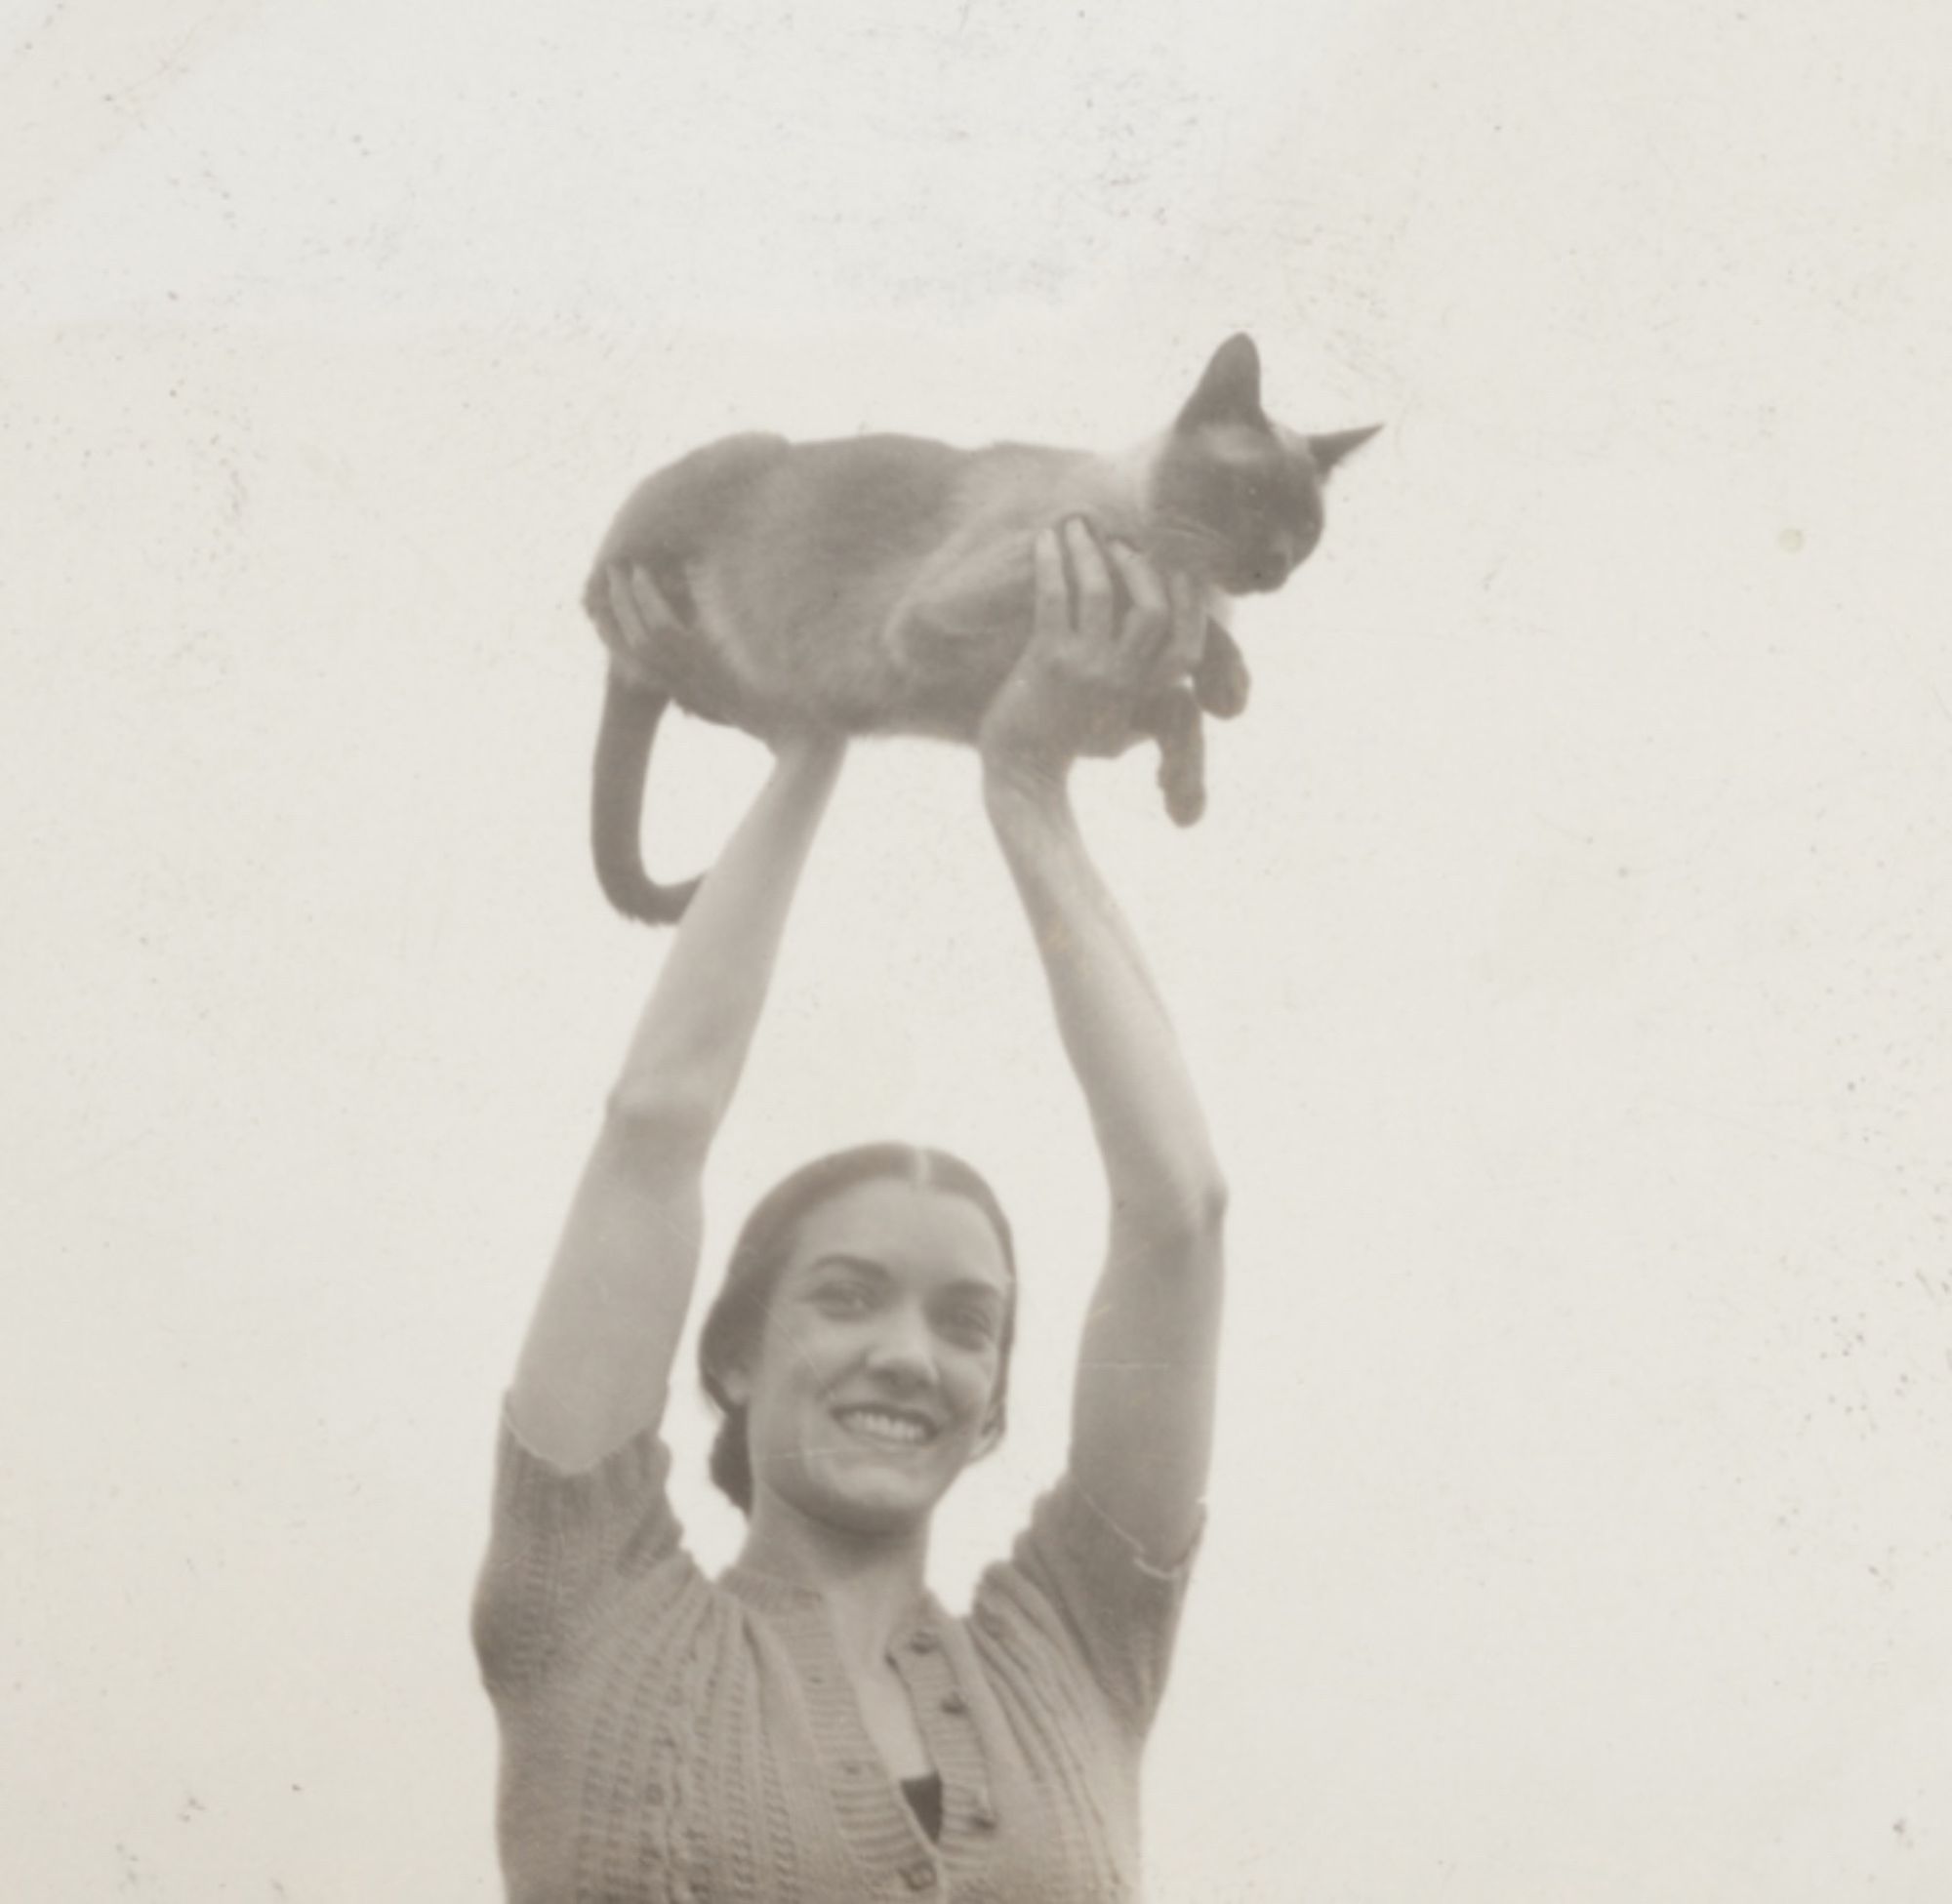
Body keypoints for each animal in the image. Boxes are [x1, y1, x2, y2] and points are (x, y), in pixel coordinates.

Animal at [578, 333, 1374, 920]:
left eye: (1308, 528)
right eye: (1252, 496)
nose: (1276, 565)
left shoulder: (1089, 715)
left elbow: (1178, 709)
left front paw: (1185, 795)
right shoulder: (962, 603)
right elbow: (1148, 588)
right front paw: (1228, 681)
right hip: (736, 463)